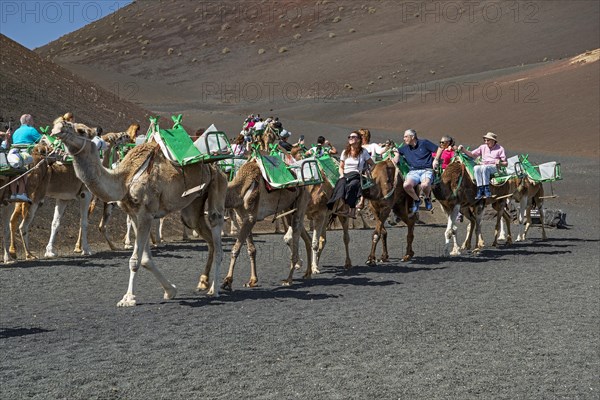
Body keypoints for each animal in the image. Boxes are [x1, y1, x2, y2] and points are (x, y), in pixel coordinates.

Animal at [51, 120, 227, 308]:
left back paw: (215, 289)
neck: (124, 179)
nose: (59, 126)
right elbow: (145, 260)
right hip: (193, 205)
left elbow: (135, 260)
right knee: (205, 236)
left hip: (217, 185)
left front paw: (128, 298)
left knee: (216, 228)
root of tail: (218, 166)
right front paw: (170, 290)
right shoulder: (135, 216)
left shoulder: (146, 214)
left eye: (81, 131)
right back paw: (203, 282)